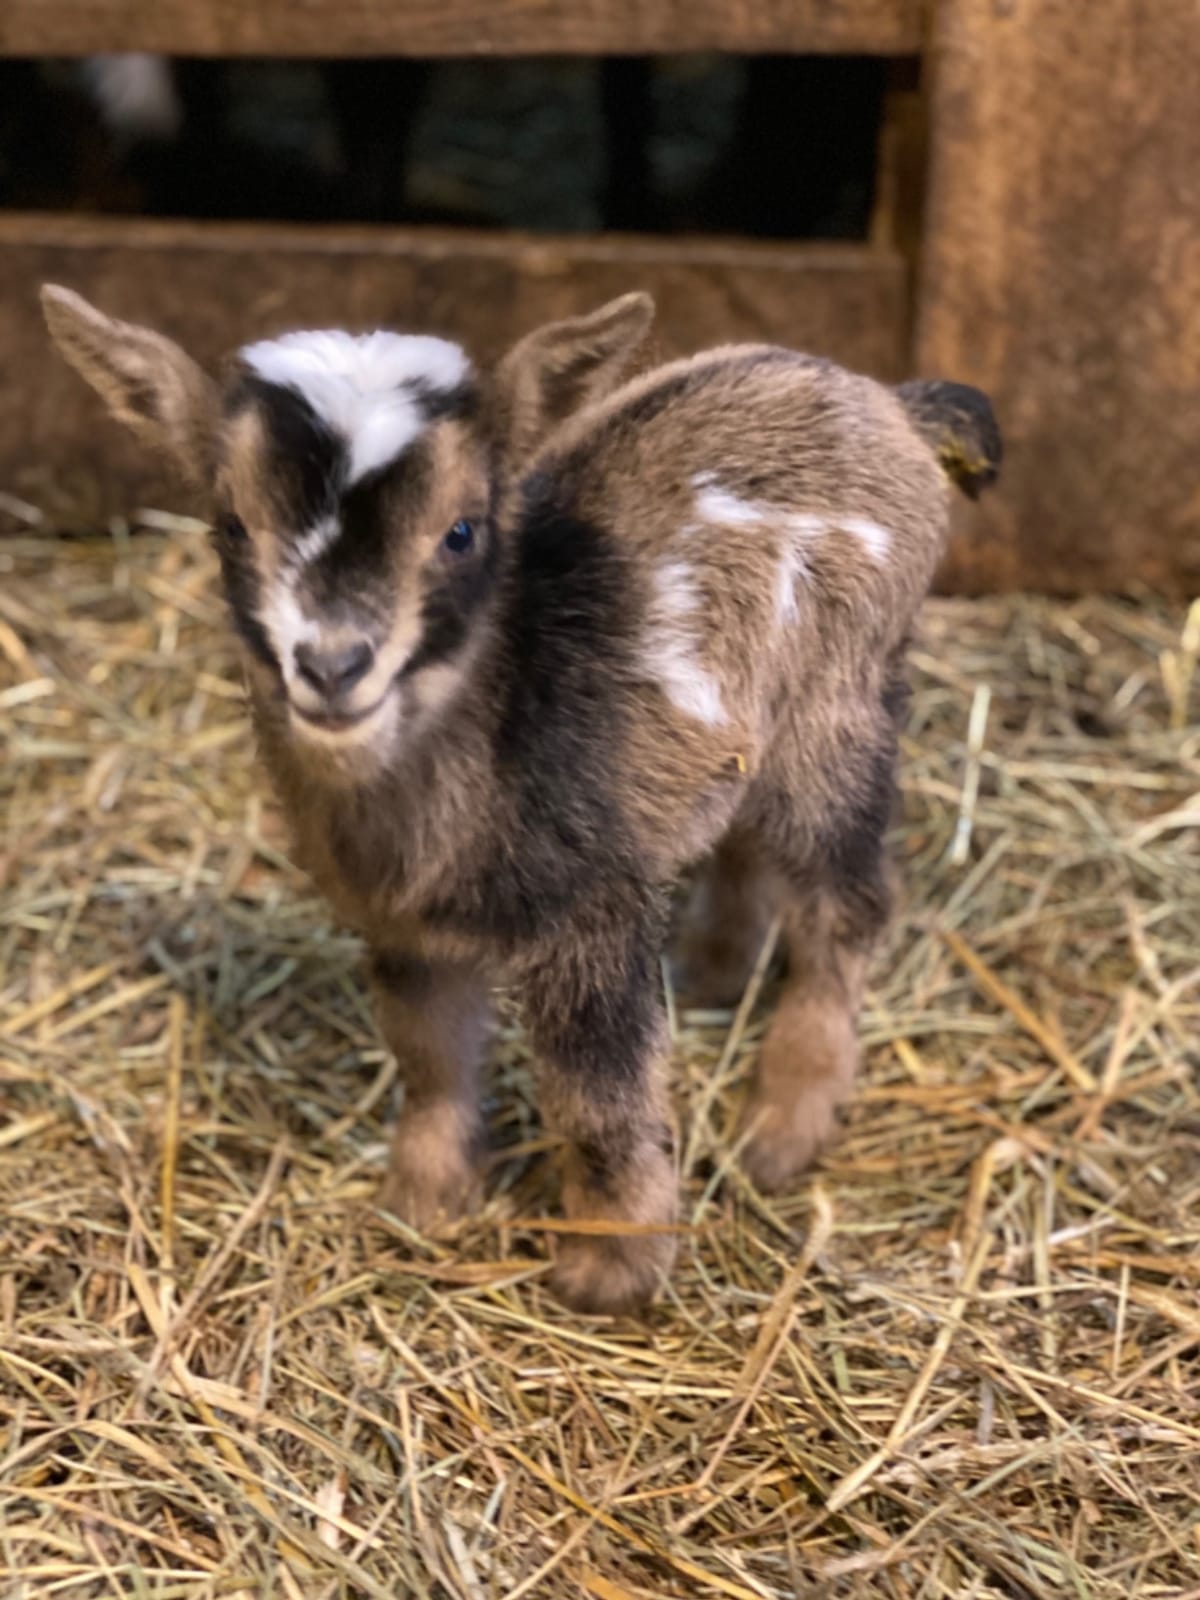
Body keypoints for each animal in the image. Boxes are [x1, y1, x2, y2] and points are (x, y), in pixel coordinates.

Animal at [41, 285, 1000, 1312]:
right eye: (230, 527)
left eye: (461, 531)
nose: (333, 666)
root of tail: (894, 405)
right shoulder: (406, 927)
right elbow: (430, 1055)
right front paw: (426, 1201)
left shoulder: (592, 912)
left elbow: (598, 1095)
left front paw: (609, 1269)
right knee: (747, 835)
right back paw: (710, 973)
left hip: (841, 704)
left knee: (846, 901)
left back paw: (783, 1127)